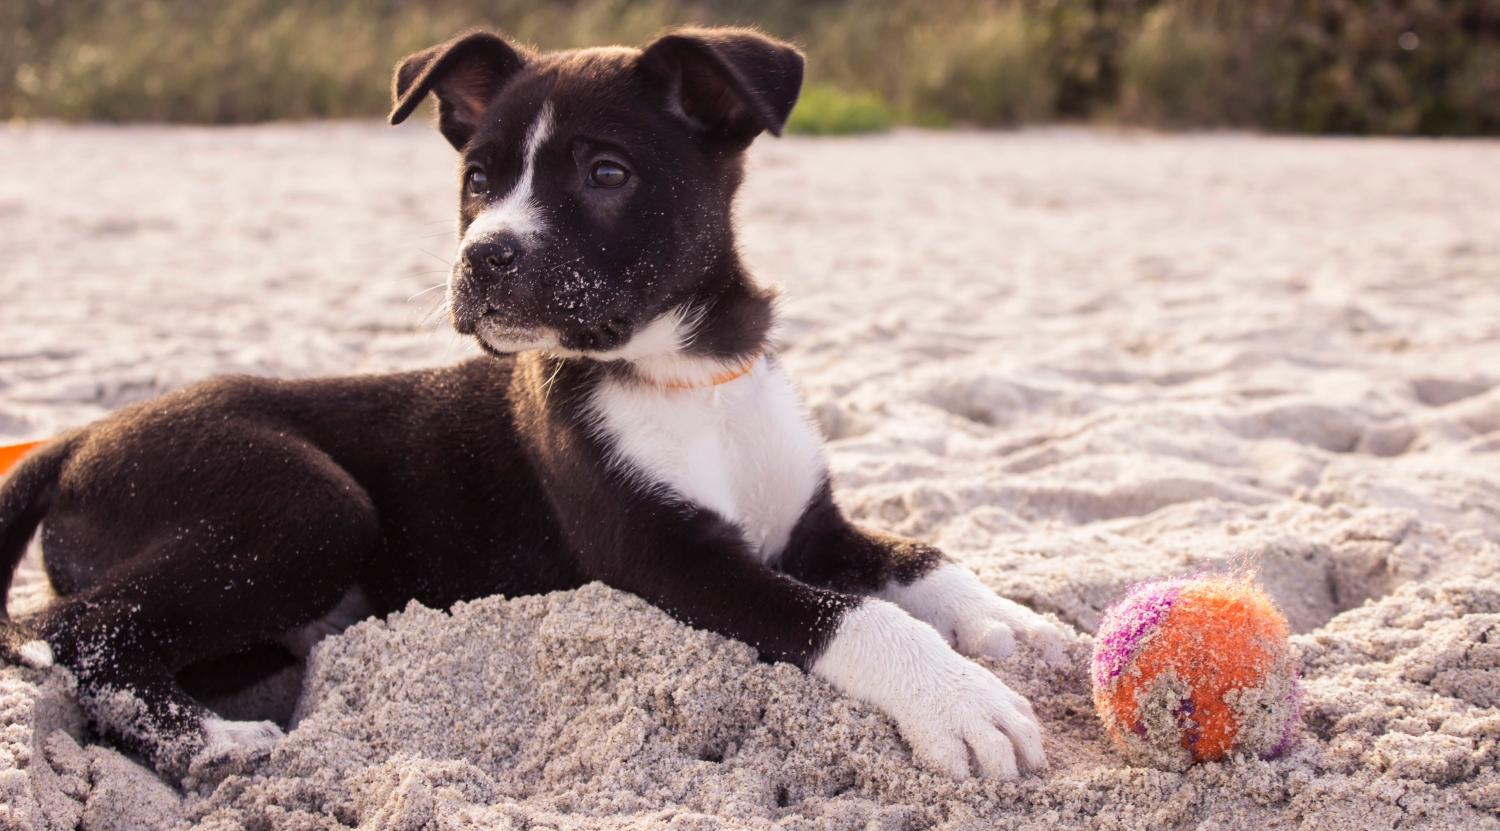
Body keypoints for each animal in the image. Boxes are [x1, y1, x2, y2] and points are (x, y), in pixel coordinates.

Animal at [5, 24, 1074, 774]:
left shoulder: (810, 524)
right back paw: (214, 745)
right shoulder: (667, 560)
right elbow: (849, 616)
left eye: (606, 172)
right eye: (477, 179)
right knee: (70, 632)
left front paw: (1014, 624)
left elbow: (919, 556)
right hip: (307, 504)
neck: (688, 374)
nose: (483, 256)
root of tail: (80, 436)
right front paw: (959, 701)